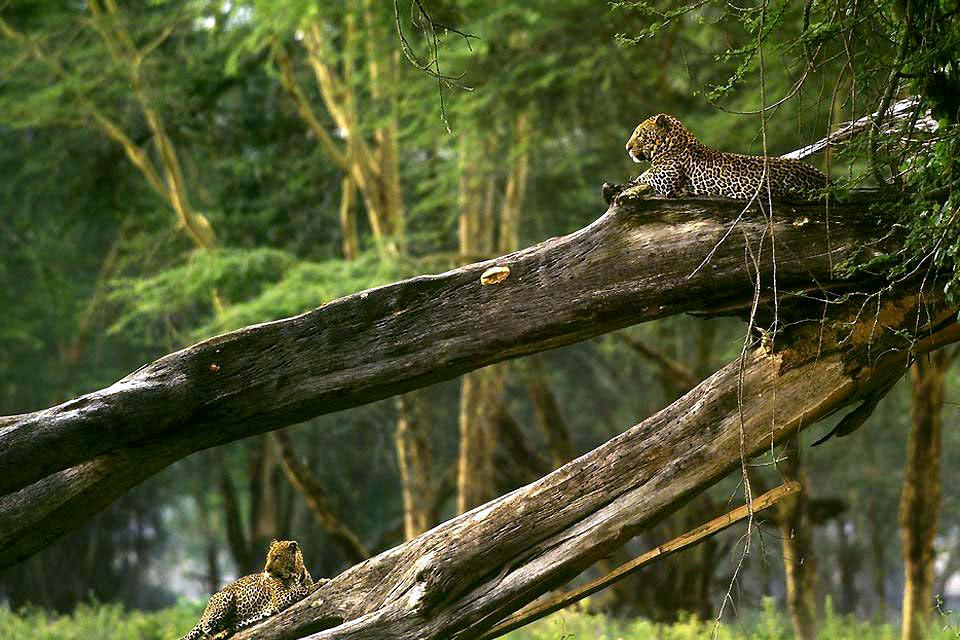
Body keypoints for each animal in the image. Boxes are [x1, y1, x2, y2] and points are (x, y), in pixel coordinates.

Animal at [172, 540, 322, 640]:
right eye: (268, 557)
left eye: (277, 557)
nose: (266, 570)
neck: (294, 574)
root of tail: (207, 607)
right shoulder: (281, 597)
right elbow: (300, 590)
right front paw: (320, 583)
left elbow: (302, 587)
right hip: (225, 598)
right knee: (206, 631)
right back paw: (219, 634)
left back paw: (226, 630)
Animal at [612, 114, 828, 204]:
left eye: (640, 134)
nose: (627, 148)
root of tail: (823, 179)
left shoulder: (667, 179)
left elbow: (646, 175)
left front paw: (631, 181)